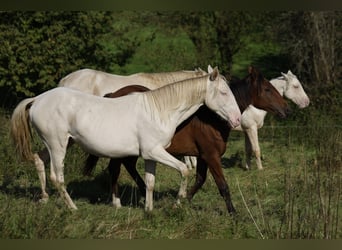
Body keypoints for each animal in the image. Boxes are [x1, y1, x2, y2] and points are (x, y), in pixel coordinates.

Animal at [10, 67, 240, 210]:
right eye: (223, 92)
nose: (237, 119)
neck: (159, 110)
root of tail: (38, 99)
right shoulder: (155, 151)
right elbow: (184, 170)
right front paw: (179, 201)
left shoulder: (150, 156)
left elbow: (150, 182)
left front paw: (149, 210)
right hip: (58, 146)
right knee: (57, 177)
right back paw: (73, 208)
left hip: (60, 143)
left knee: (39, 159)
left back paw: (44, 198)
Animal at [83, 67, 288, 215]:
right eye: (268, 89)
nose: (286, 109)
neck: (211, 119)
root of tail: (112, 95)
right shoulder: (211, 156)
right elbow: (223, 186)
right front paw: (233, 213)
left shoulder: (204, 157)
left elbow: (200, 180)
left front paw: (180, 202)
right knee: (115, 169)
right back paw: (118, 201)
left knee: (128, 166)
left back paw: (141, 193)